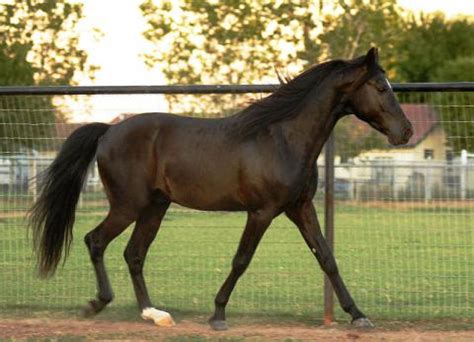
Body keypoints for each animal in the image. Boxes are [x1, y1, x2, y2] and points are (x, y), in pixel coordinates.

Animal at [31, 48, 412, 328]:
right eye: (381, 87)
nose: (405, 132)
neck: (282, 139)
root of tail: (108, 131)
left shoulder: (300, 207)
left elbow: (327, 258)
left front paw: (359, 316)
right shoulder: (262, 212)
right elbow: (241, 260)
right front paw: (217, 315)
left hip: (155, 207)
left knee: (134, 254)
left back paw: (154, 315)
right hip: (128, 206)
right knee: (96, 241)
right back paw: (98, 303)